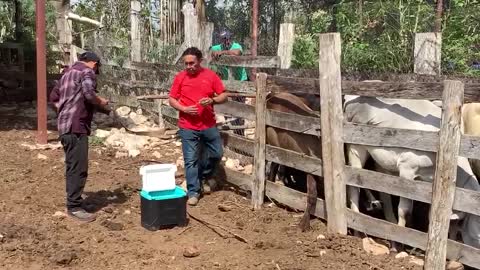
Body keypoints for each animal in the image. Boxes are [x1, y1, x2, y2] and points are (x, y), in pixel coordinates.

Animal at [344, 95, 480, 251]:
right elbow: (405, 210)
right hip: (356, 146)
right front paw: (398, 245)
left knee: (383, 188)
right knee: (355, 183)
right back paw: (359, 229)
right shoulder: (407, 168)